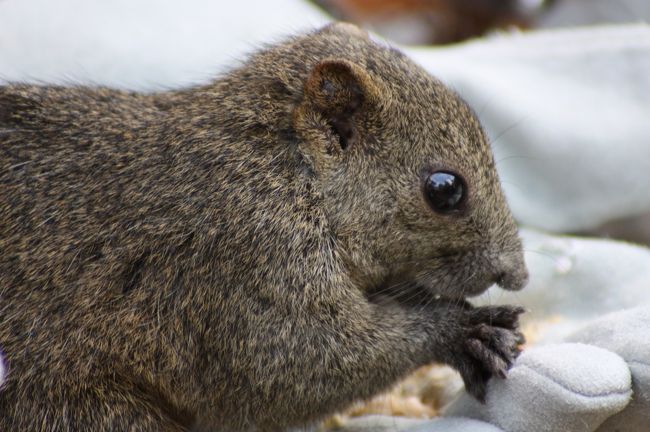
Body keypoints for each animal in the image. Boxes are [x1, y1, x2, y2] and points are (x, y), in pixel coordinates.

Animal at [0, 22, 528, 430]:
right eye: (445, 189)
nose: (516, 274)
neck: (286, 172)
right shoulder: (243, 260)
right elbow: (293, 367)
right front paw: (462, 331)